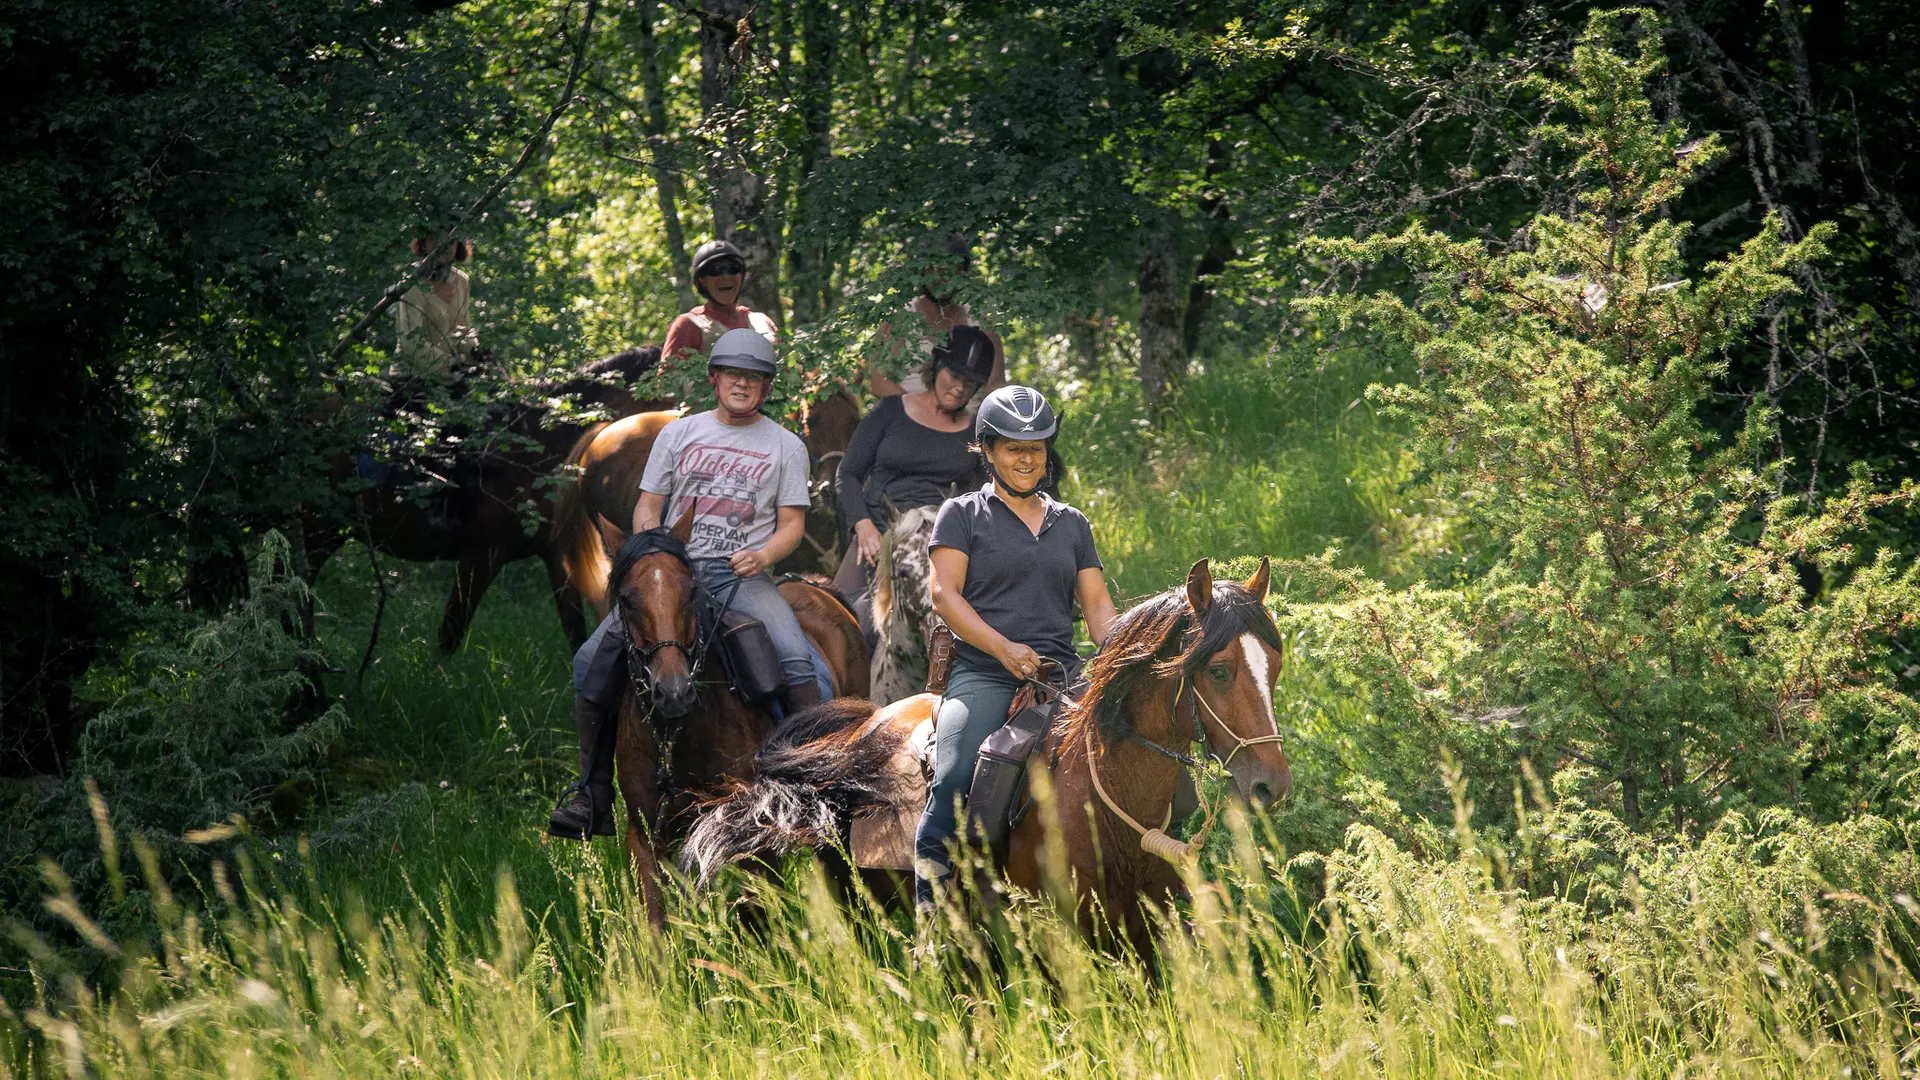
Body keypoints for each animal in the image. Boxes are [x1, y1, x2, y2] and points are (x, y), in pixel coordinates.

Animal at [602, 507, 867, 926]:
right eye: (627, 600)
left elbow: (755, 916)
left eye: (690, 592)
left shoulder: (753, 840)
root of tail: (818, 588)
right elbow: (655, 921)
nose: (673, 692)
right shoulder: (643, 836)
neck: (680, 736)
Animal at [683, 553, 1297, 949]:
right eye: (1218, 671)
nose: (1272, 785)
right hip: (862, 899)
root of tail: (861, 730)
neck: (1102, 801)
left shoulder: (1142, 929)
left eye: (1274, 665)